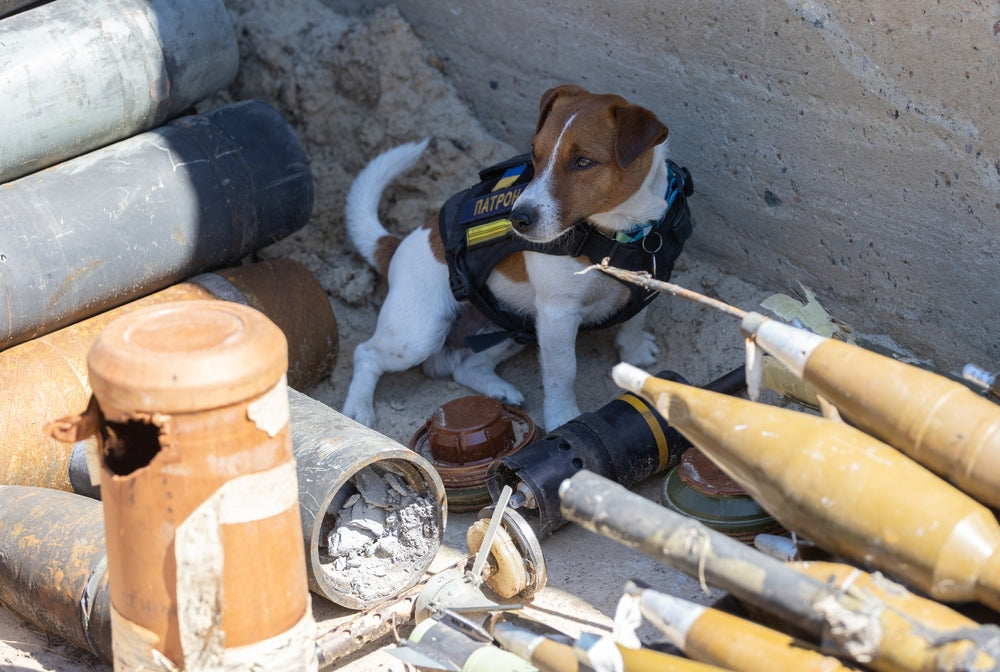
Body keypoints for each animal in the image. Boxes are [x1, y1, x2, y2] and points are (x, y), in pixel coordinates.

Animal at [340, 85, 676, 430]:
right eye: (535, 155)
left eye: (583, 161)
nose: (518, 218)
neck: (615, 235)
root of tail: (397, 246)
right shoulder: (557, 315)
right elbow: (562, 373)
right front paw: (563, 417)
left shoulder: (640, 288)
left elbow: (633, 324)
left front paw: (636, 358)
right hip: (420, 333)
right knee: (366, 354)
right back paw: (358, 409)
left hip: (517, 327)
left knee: (465, 367)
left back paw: (499, 391)